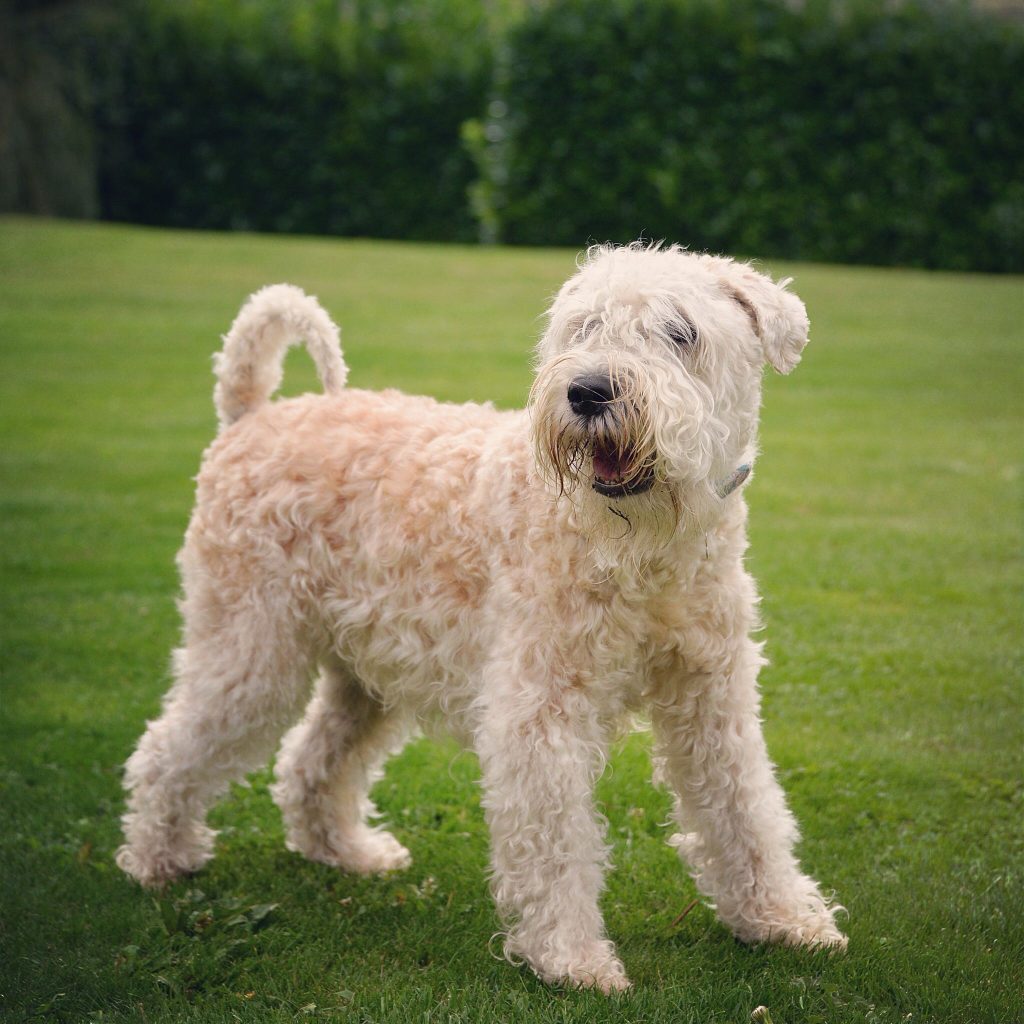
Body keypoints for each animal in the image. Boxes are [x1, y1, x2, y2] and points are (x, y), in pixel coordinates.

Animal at [116, 241, 843, 991]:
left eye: (681, 332)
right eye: (584, 326)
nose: (588, 392)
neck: (646, 556)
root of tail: (250, 415)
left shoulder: (711, 697)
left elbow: (744, 808)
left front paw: (782, 918)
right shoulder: (541, 708)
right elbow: (556, 841)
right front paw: (572, 958)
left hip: (364, 672)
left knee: (312, 760)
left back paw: (347, 852)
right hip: (252, 648)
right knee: (170, 748)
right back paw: (160, 859)